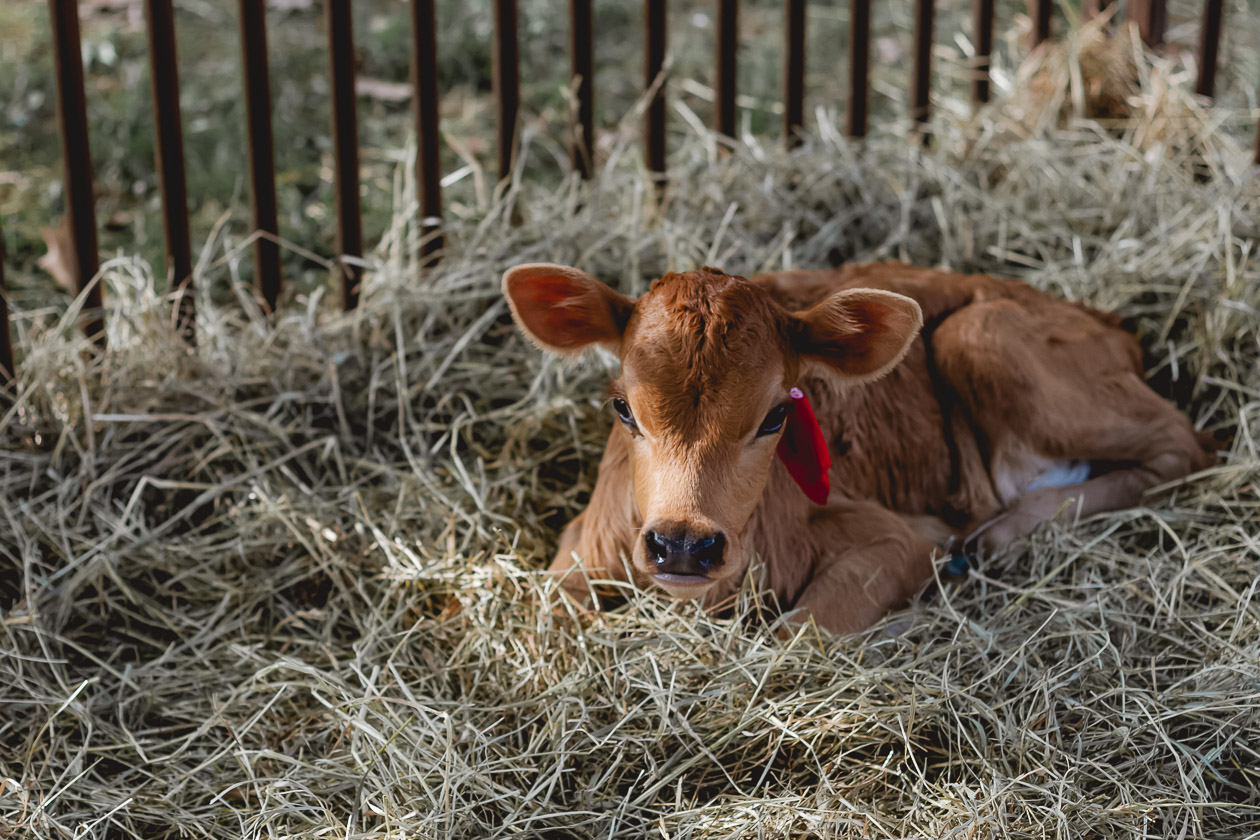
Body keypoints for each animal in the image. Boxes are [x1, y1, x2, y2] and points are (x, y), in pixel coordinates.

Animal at [501, 259, 1209, 634]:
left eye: (776, 416)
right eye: (624, 407)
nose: (682, 544)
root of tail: (1109, 323)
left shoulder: (903, 540)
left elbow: (802, 631)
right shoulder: (581, 546)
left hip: (983, 334)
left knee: (1184, 444)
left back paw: (1004, 533)